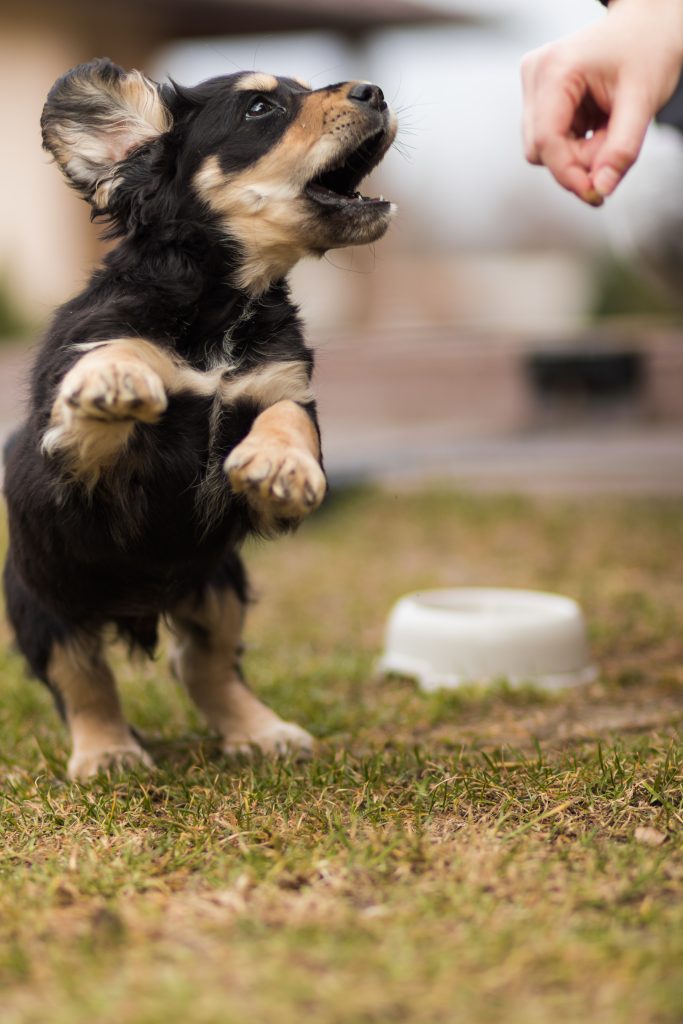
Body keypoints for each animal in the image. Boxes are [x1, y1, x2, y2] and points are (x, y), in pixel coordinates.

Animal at [2, 58, 397, 774]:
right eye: (260, 109)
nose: (375, 92)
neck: (219, 307)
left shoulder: (282, 385)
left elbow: (289, 419)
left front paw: (279, 465)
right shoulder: (76, 476)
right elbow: (113, 365)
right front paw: (114, 375)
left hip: (218, 583)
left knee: (202, 665)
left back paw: (261, 732)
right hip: (44, 604)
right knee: (84, 679)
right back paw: (108, 753)